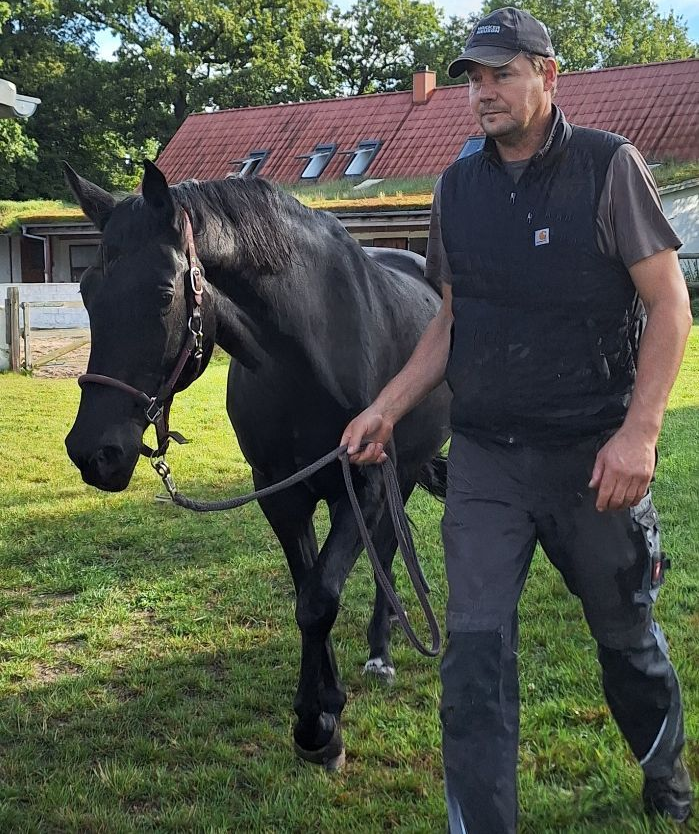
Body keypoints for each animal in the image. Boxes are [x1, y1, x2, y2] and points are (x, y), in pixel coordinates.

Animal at [64, 160, 451, 769]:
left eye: (163, 292)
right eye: (85, 289)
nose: (93, 452)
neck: (308, 352)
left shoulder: (361, 481)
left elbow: (320, 597)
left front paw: (319, 725)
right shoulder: (280, 492)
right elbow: (308, 591)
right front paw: (321, 714)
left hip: (402, 469)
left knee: (389, 544)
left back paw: (382, 651)